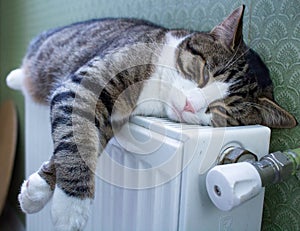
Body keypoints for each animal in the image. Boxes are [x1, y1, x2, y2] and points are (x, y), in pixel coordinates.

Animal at [5, 4, 296, 231]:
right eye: (204, 72)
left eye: (223, 110)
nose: (190, 105)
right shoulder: (87, 85)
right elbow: (77, 138)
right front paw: (71, 208)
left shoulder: (112, 116)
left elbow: (86, 140)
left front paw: (37, 190)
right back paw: (16, 76)